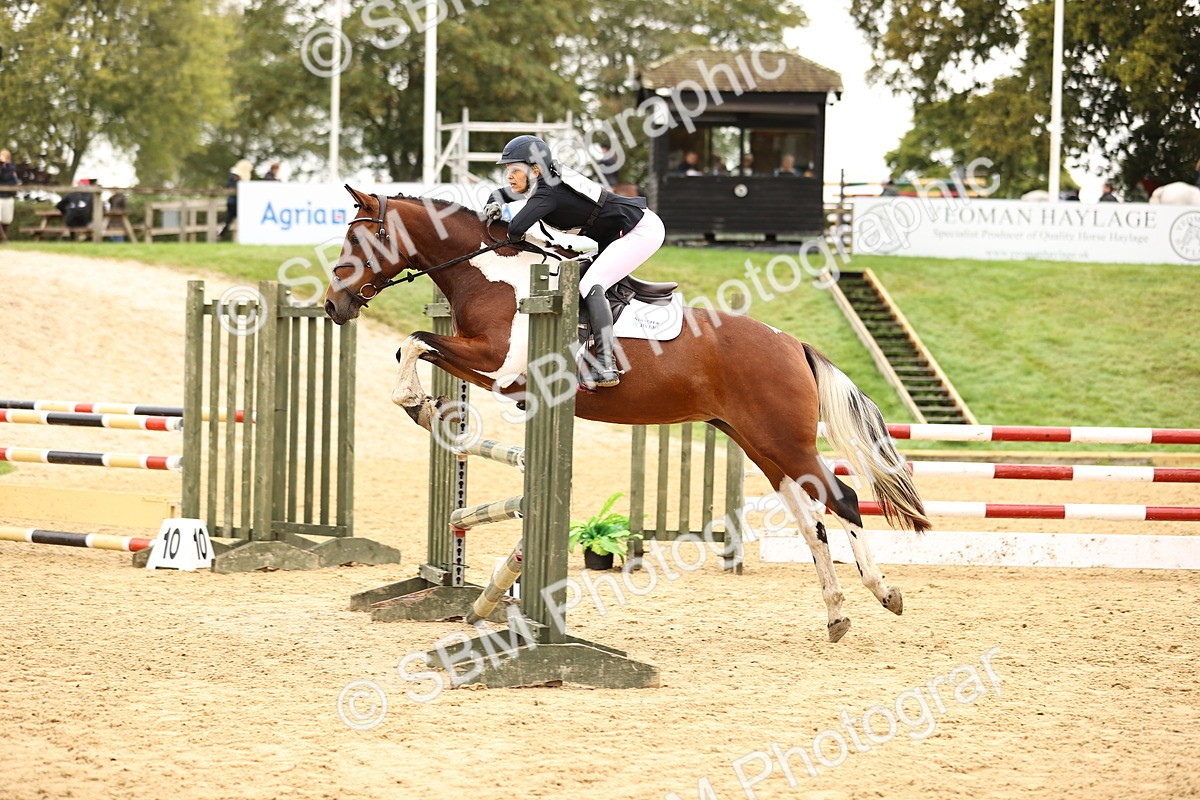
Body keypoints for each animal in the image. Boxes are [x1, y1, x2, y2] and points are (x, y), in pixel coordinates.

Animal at [323, 186, 930, 642]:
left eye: (358, 238)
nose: (333, 305)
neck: (496, 278)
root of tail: (791, 343)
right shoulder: (490, 367)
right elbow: (415, 346)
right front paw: (428, 408)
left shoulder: (499, 365)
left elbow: (414, 342)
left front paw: (418, 405)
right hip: (758, 443)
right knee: (812, 520)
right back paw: (836, 612)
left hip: (786, 441)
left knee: (843, 500)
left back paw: (885, 593)